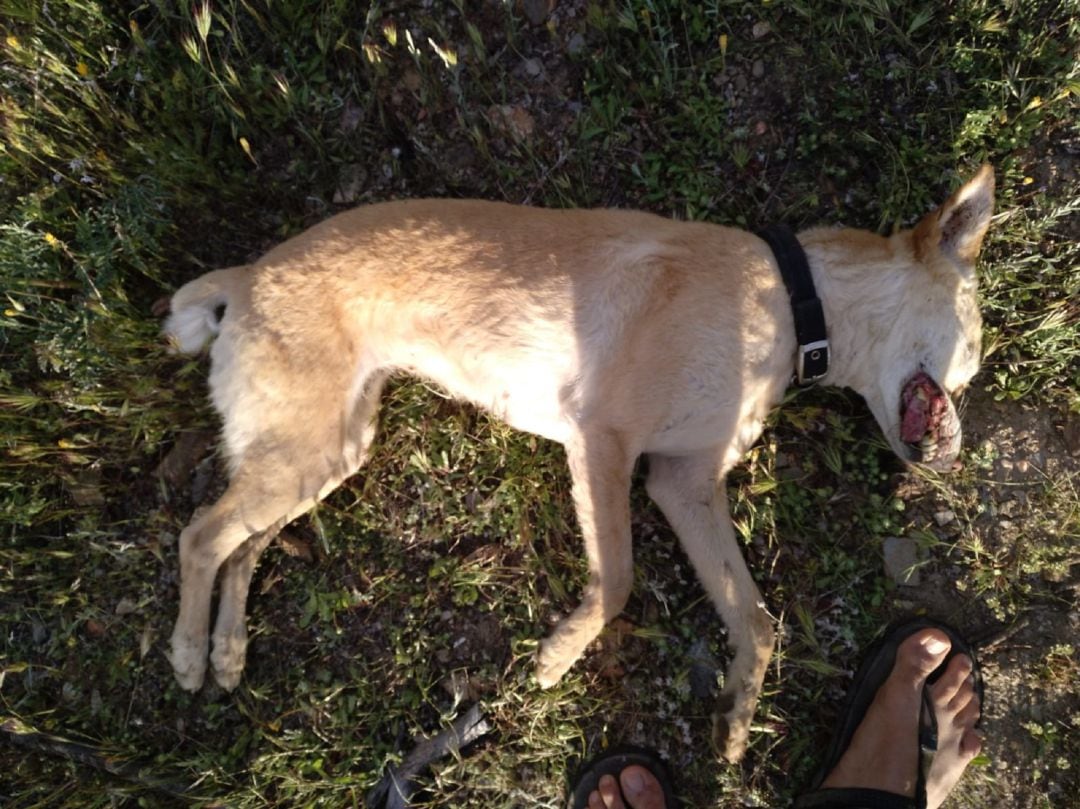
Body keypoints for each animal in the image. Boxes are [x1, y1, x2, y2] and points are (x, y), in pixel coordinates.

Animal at [162, 165, 993, 764]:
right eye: (975, 349)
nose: (958, 452)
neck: (791, 304)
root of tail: (246, 275)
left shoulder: (682, 482)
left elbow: (755, 617)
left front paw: (737, 715)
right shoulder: (603, 439)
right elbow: (618, 581)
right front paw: (559, 657)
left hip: (325, 450)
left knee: (244, 546)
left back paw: (229, 649)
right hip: (303, 450)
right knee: (200, 537)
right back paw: (188, 653)